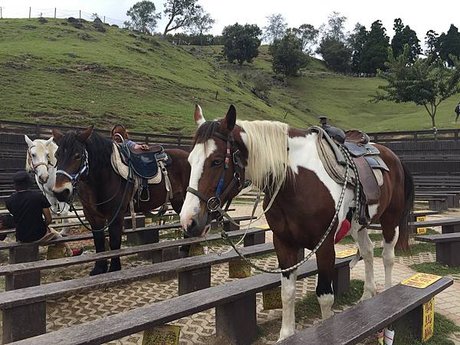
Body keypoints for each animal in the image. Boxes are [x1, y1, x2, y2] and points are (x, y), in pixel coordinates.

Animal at [52, 125, 190, 274]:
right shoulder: (93, 216)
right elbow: (99, 241)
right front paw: (99, 268)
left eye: (77, 155)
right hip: (178, 201)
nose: (61, 192)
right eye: (57, 155)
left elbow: (114, 242)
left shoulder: (116, 214)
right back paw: (184, 250)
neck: (105, 175)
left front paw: (114, 268)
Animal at [181, 103, 416, 340]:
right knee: (367, 252)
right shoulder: (283, 243)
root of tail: (393, 156)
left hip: (390, 221)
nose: (189, 221)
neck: (297, 181)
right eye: (190, 161)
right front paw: (286, 334)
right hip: (359, 226)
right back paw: (368, 296)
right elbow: (287, 292)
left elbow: (325, 296)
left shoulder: (325, 246)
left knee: (387, 257)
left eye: (216, 161)